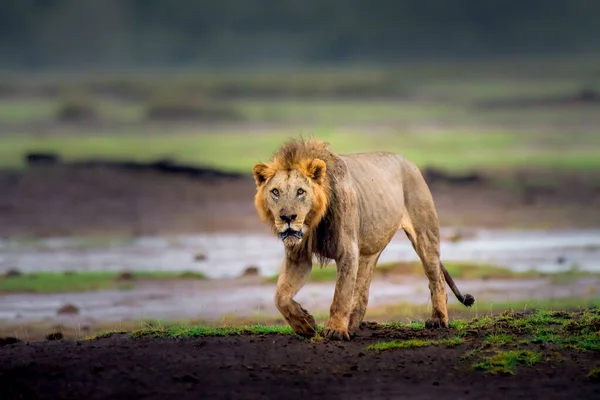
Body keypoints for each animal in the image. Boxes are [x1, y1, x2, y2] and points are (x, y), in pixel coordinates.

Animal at [252, 138, 474, 340]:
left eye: (300, 192)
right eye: (275, 192)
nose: (288, 218)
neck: (312, 223)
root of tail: (409, 162)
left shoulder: (348, 251)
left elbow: (341, 295)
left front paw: (334, 331)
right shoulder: (298, 257)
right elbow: (280, 297)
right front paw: (305, 324)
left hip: (425, 235)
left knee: (436, 278)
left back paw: (438, 320)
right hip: (369, 251)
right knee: (362, 292)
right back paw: (351, 325)